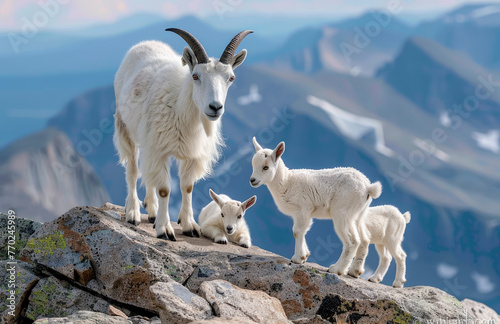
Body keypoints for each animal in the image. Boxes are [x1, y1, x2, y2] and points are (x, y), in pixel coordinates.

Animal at [114, 28, 252, 240]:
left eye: (231, 78)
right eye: (195, 76)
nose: (215, 107)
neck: (180, 109)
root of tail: (145, 43)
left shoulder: (192, 154)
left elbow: (187, 187)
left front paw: (189, 226)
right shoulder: (159, 149)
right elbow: (164, 189)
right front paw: (165, 229)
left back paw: (152, 210)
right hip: (126, 128)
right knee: (133, 170)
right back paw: (133, 212)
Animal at [248, 137, 380, 276]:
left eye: (266, 167)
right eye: (253, 165)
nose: (252, 180)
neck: (286, 183)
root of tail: (368, 188)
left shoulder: (303, 208)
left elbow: (297, 231)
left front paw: (297, 258)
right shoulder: (302, 213)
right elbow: (302, 230)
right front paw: (305, 256)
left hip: (342, 213)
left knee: (353, 241)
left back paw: (337, 269)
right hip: (358, 215)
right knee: (365, 239)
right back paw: (354, 271)